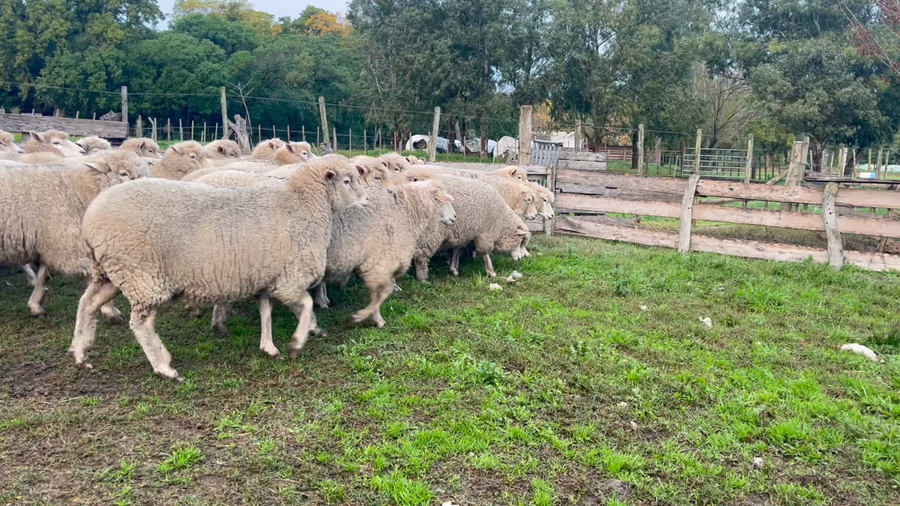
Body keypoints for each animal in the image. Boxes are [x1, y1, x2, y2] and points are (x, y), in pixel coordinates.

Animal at [0, 150, 149, 318]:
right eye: (123, 173)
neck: (77, 191)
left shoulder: (55, 245)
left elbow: (44, 276)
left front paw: (35, 304)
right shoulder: (67, 247)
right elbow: (95, 280)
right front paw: (110, 310)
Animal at [69, 156, 370, 380]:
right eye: (347, 181)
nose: (367, 200)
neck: (304, 205)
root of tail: (90, 219)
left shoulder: (266, 277)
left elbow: (266, 313)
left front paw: (270, 346)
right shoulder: (289, 280)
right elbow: (307, 305)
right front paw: (298, 341)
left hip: (111, 272)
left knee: (87, 303)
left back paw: (80, 352)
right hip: (142, 276)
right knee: (141, 324)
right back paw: (164, 367)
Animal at [315, 180, 457, 326]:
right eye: (445, 201)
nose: (455, 217)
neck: (406, 211)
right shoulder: (377, 262)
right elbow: (379, 293)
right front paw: (375, 318)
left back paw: (322, 300)